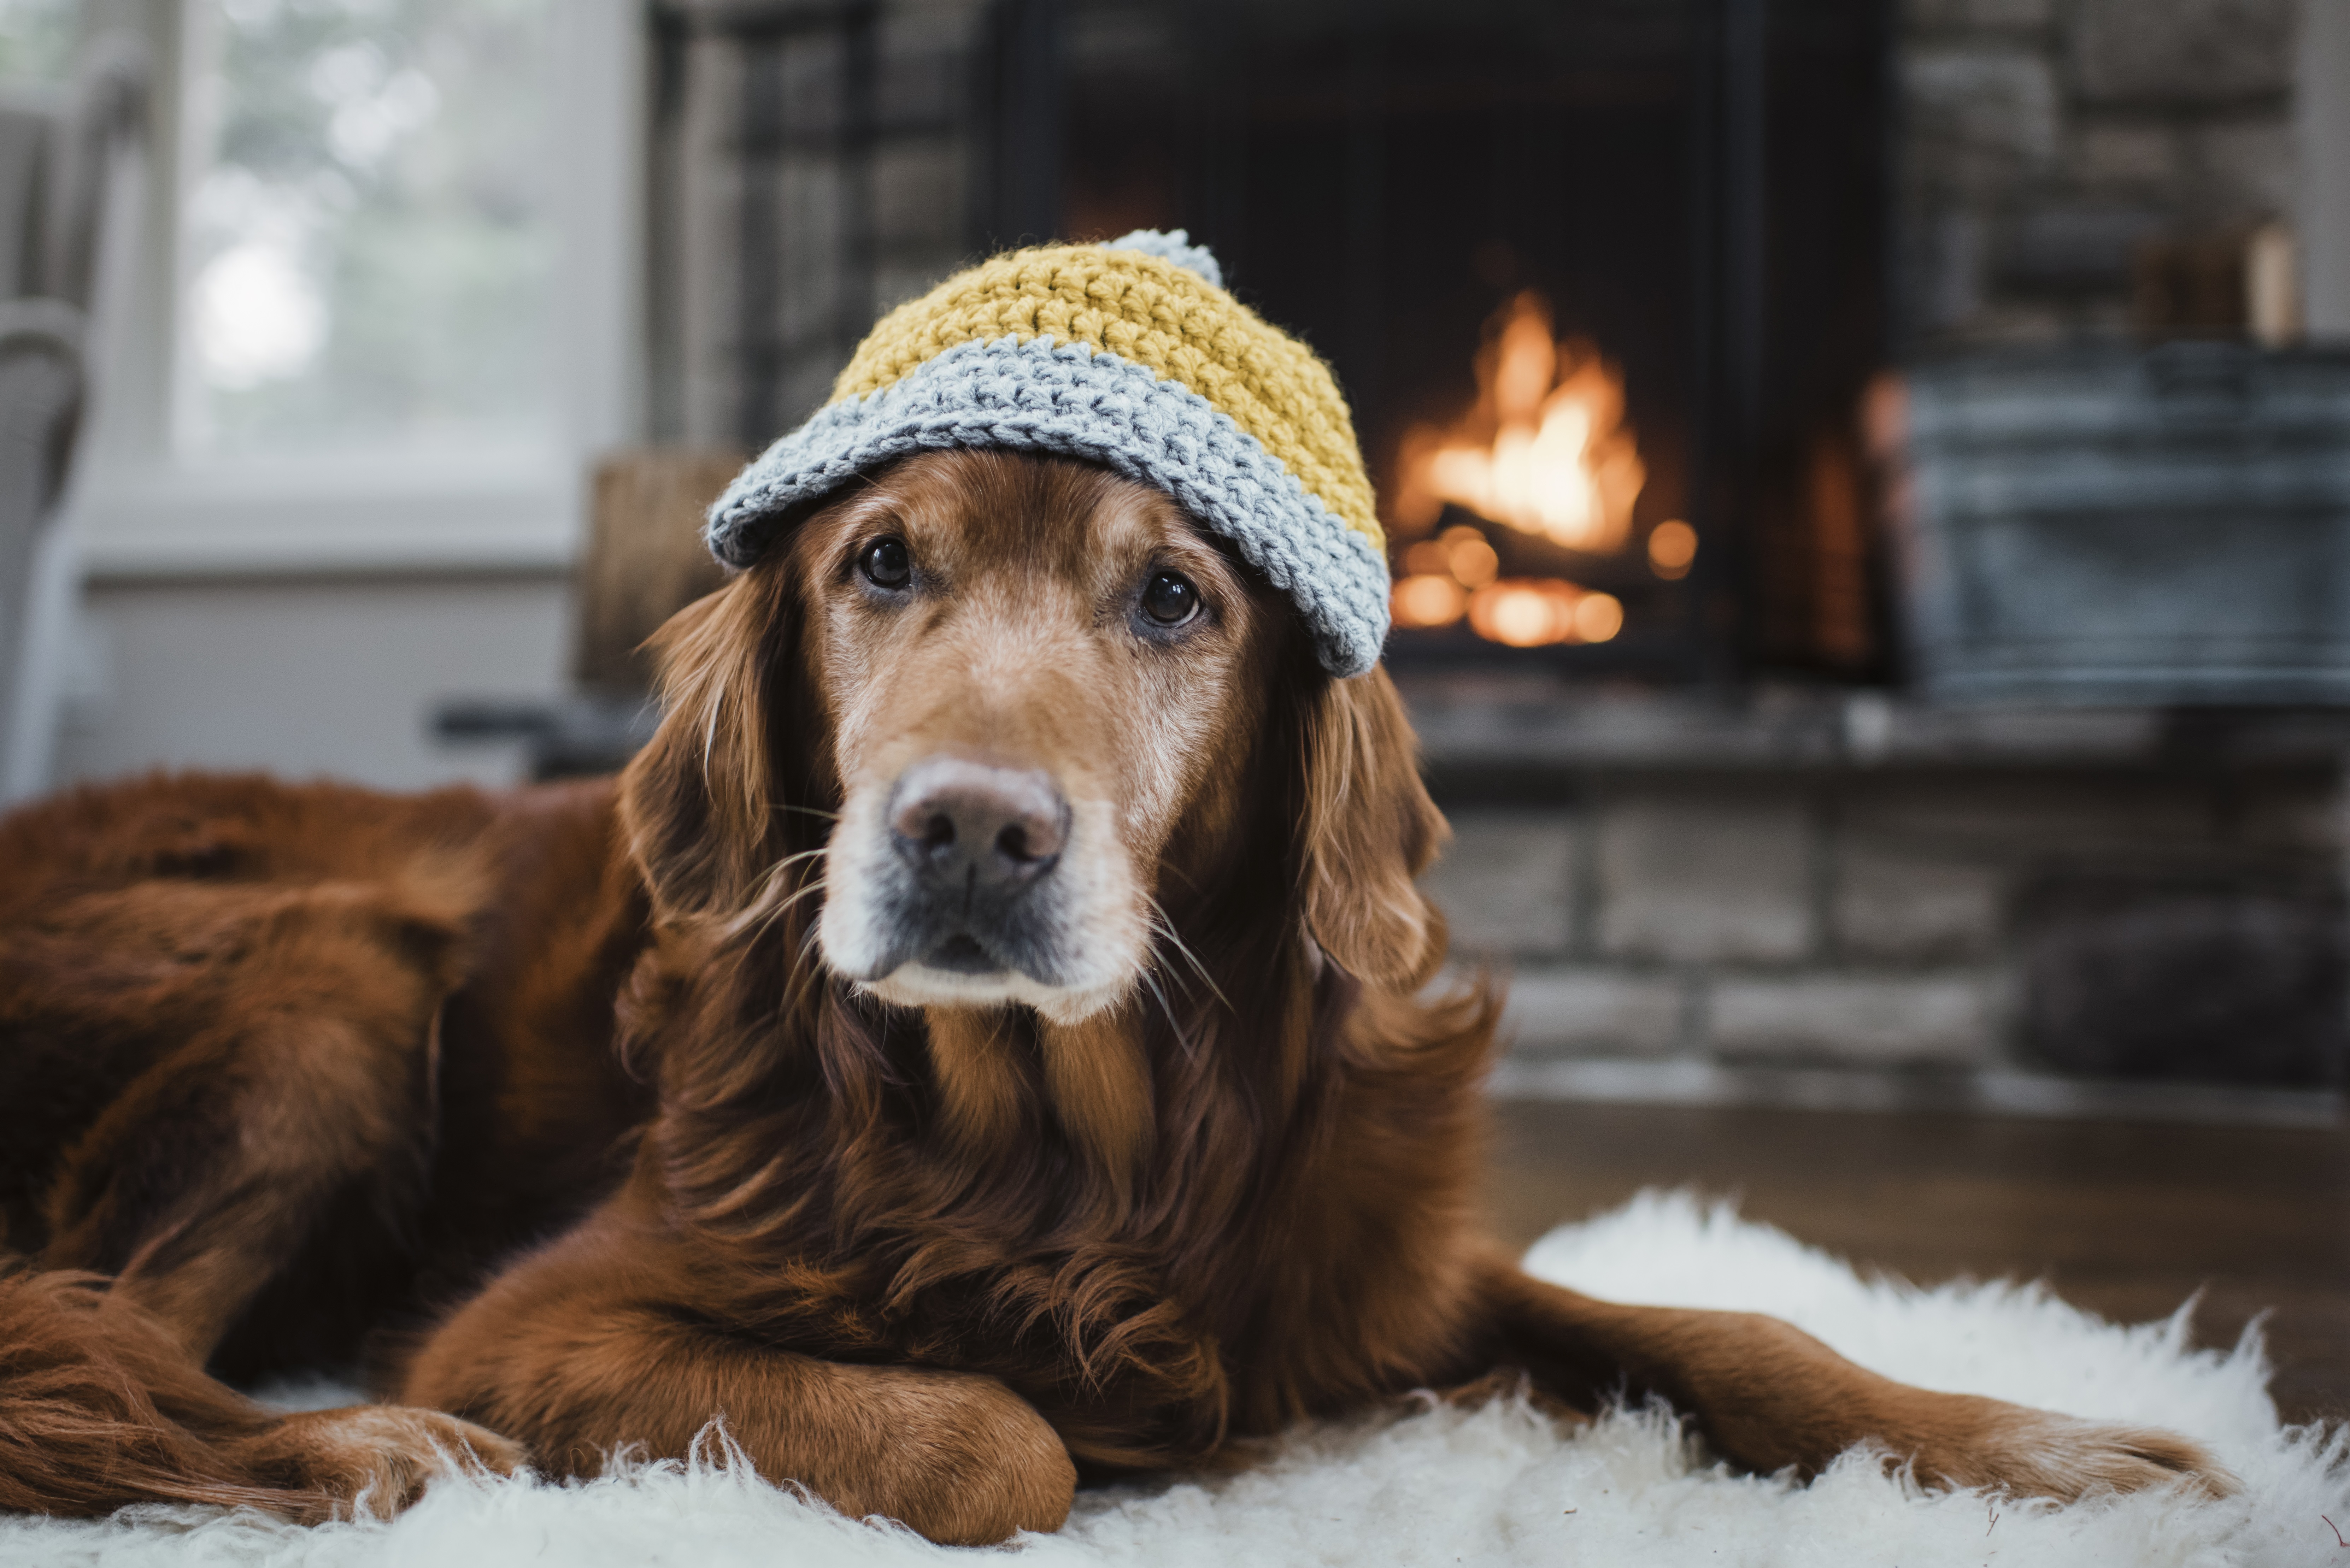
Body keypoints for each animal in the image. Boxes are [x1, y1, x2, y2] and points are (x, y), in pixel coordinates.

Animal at [0, 444, 2218, 1542]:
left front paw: (2051, 1449)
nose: (970, 834)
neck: (1069, 1142)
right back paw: (353, 1452)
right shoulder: (540, 1319)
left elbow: (1734, 1327)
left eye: (1172, 596)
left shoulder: (1357, 1260)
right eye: (879, 566)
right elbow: (994, 1440)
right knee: (81, 1341)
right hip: (339, 972)